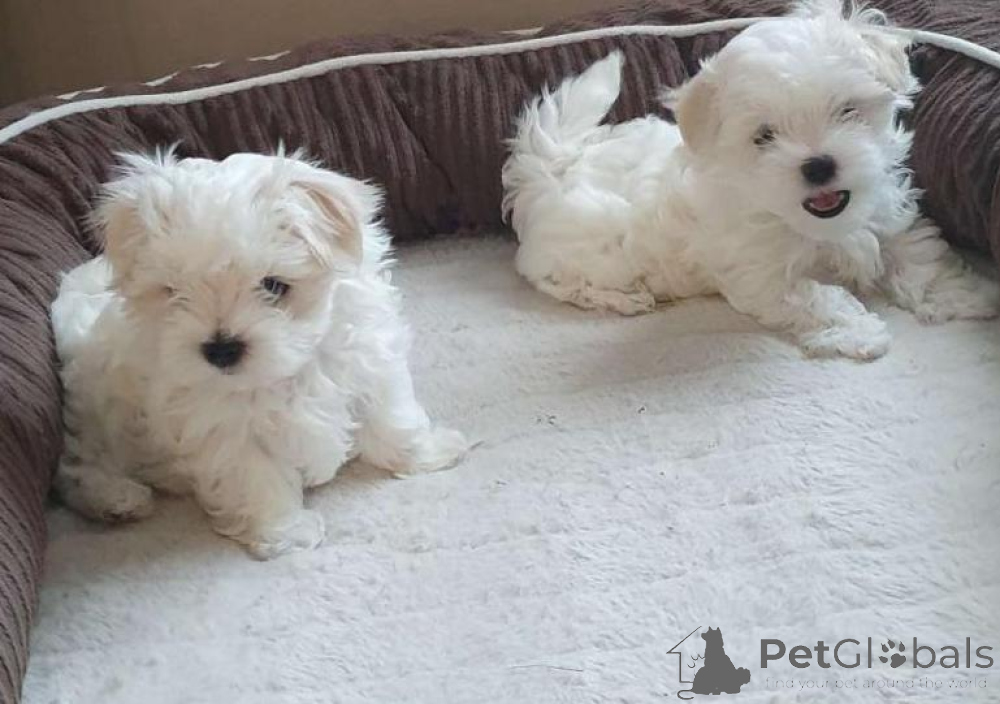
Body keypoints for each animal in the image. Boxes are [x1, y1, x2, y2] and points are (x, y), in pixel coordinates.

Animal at [52, 150, 467, 559]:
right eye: (174, 292)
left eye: (273, 286)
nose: (221, 349)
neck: (288, 371)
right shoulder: (223, 427)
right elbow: (254, 475)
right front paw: (287, 533)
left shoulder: (371, 362)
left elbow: (392, 418)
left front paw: (429, 454)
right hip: (91, 408)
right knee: (76, 464)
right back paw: (116, 498)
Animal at [502, 0, 1000, 360]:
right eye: (764, 136)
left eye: (846, 110)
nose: (818, 165)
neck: (814, 221)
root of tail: (550, 166)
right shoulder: (762, 274)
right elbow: (817, 297)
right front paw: (861, 333)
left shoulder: (888, 218)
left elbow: (920, 259)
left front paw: (970, 297)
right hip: (589, 253)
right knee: (557, 280)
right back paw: (625, 299)